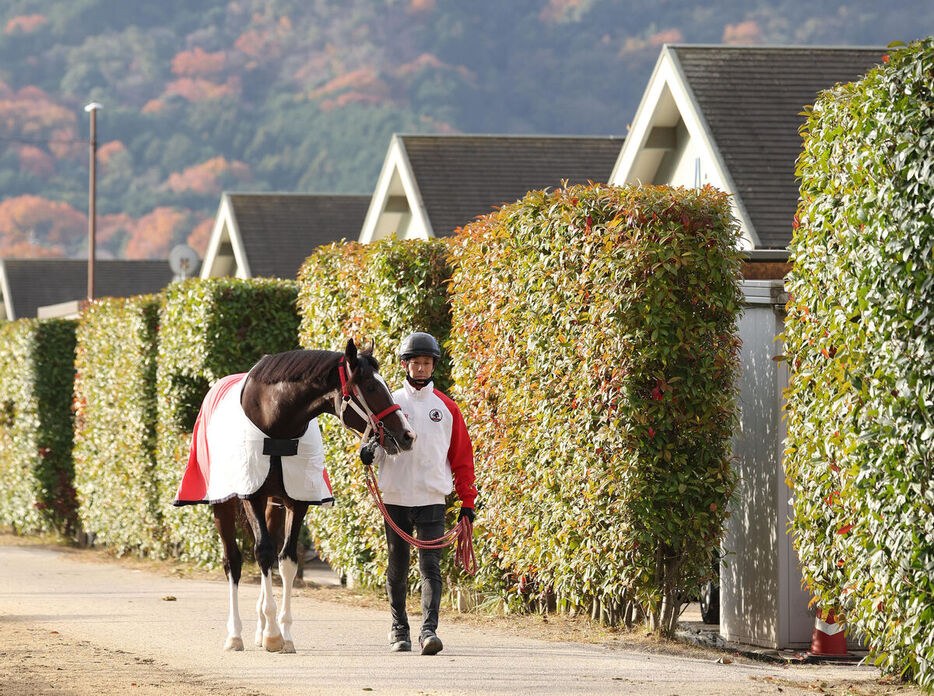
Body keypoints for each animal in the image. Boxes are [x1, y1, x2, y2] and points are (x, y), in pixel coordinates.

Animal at [174, 338, 414, 652]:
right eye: (372, 387)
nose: (408, 435)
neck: (275, 422)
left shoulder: (296, 499)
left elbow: (286, 560)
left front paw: (282, 633)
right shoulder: (251, 495)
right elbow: (262, 553)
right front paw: (273, 634)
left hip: (273, 505)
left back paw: (260, 628)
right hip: (224, 504)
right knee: (233, 562)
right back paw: (235, 635)